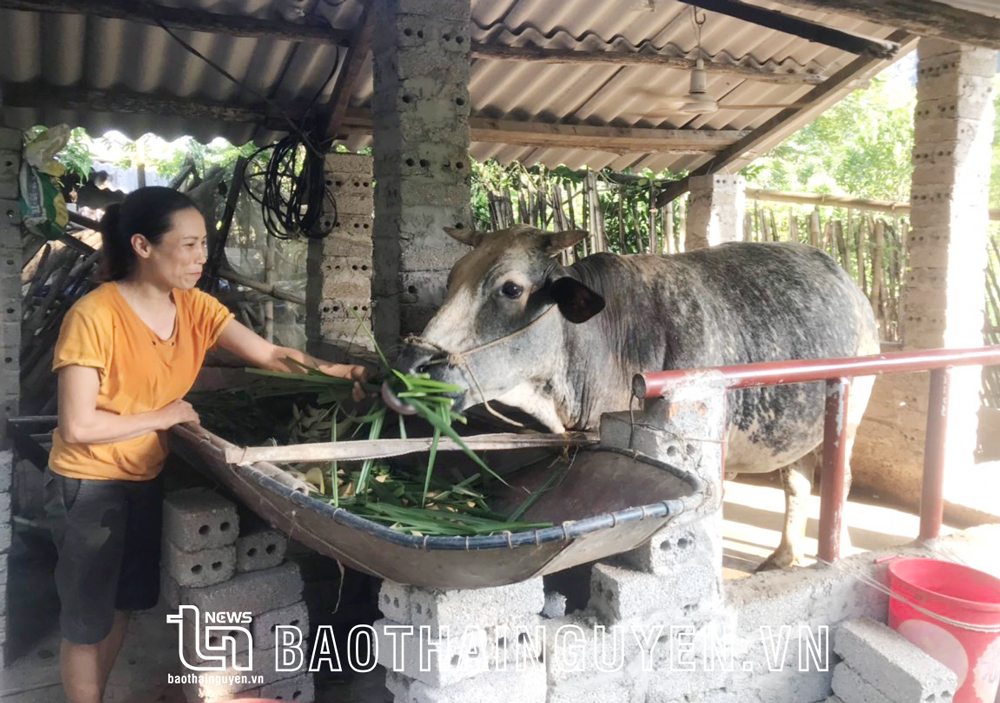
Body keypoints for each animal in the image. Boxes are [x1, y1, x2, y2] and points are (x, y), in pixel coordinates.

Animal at [394, 226, 880, 572]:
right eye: (453, 277)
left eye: (510, 288)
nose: (411, 365)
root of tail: (848, 282)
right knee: (797, 483)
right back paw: (783, 557)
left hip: (851, 408)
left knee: (837, 481)